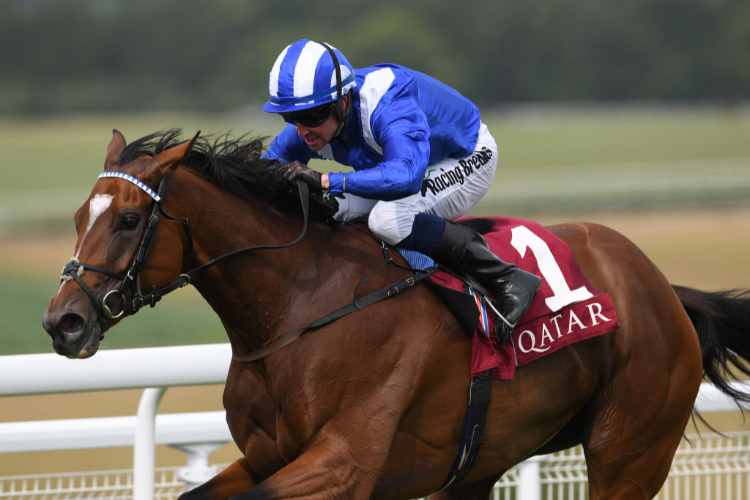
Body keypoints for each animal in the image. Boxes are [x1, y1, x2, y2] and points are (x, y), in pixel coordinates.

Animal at [42, 130, 750, 500]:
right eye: (77, 217)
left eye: (129, 219)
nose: (62, 322)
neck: (297, 311)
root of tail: (661, 287)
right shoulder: (268, 455)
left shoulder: (346, 463)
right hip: (480, 463)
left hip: (630, 451)